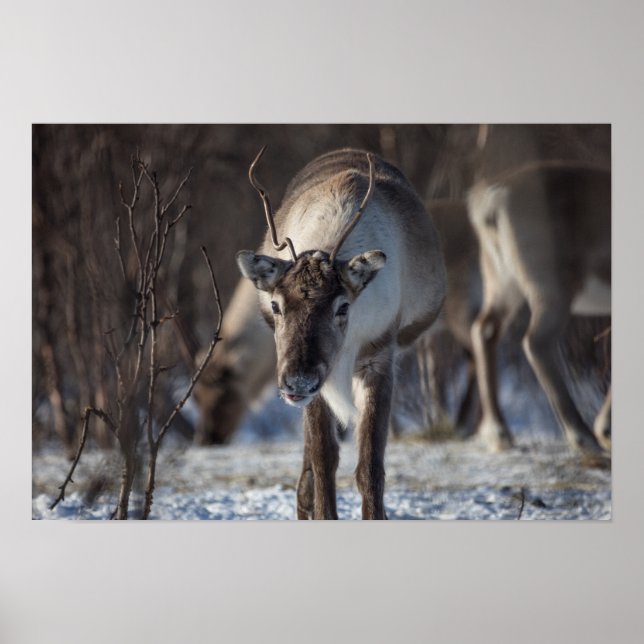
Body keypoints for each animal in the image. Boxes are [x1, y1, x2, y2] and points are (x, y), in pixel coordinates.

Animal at [236, 148, 446, 519]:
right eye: (275, 305)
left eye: (343, 307)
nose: (297, 382)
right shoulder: (319, 380)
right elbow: (324, 458)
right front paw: (321, 512)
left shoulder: (379, 357)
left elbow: (370, 467)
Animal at [467, 160, 611, 453]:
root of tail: (491, 201)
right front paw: (605, 430)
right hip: (552, 286)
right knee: (536, 342)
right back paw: (582, 435)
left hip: (500, 278)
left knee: (484, 329)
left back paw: (499, 432)